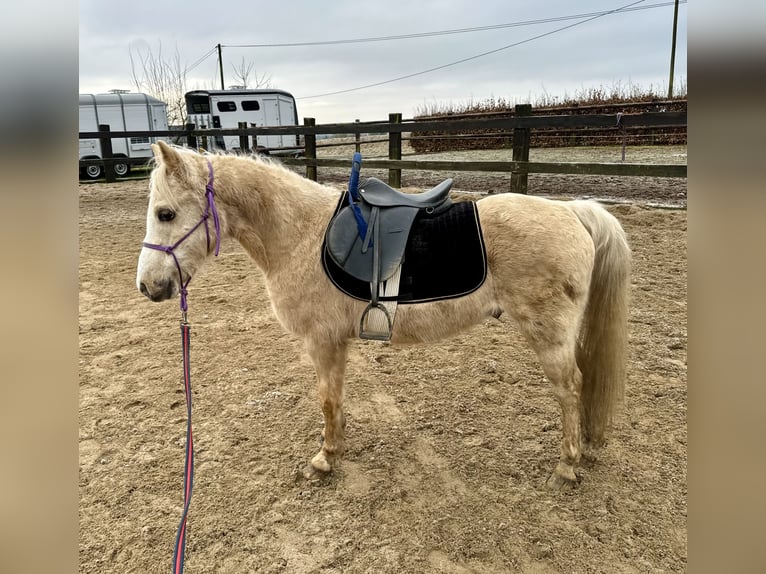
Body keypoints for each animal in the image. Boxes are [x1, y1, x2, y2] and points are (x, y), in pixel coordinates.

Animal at [136, 141, 632, 490]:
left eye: (166, 213)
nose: (148, 286)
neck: (300, 233)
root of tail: (572, 211)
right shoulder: (336, 343)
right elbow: (335, 398)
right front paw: (336, 446)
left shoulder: (322, 342)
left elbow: (326, 399)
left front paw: (325, 459)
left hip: (550, 337)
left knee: (571, 388)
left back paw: (566, 466)